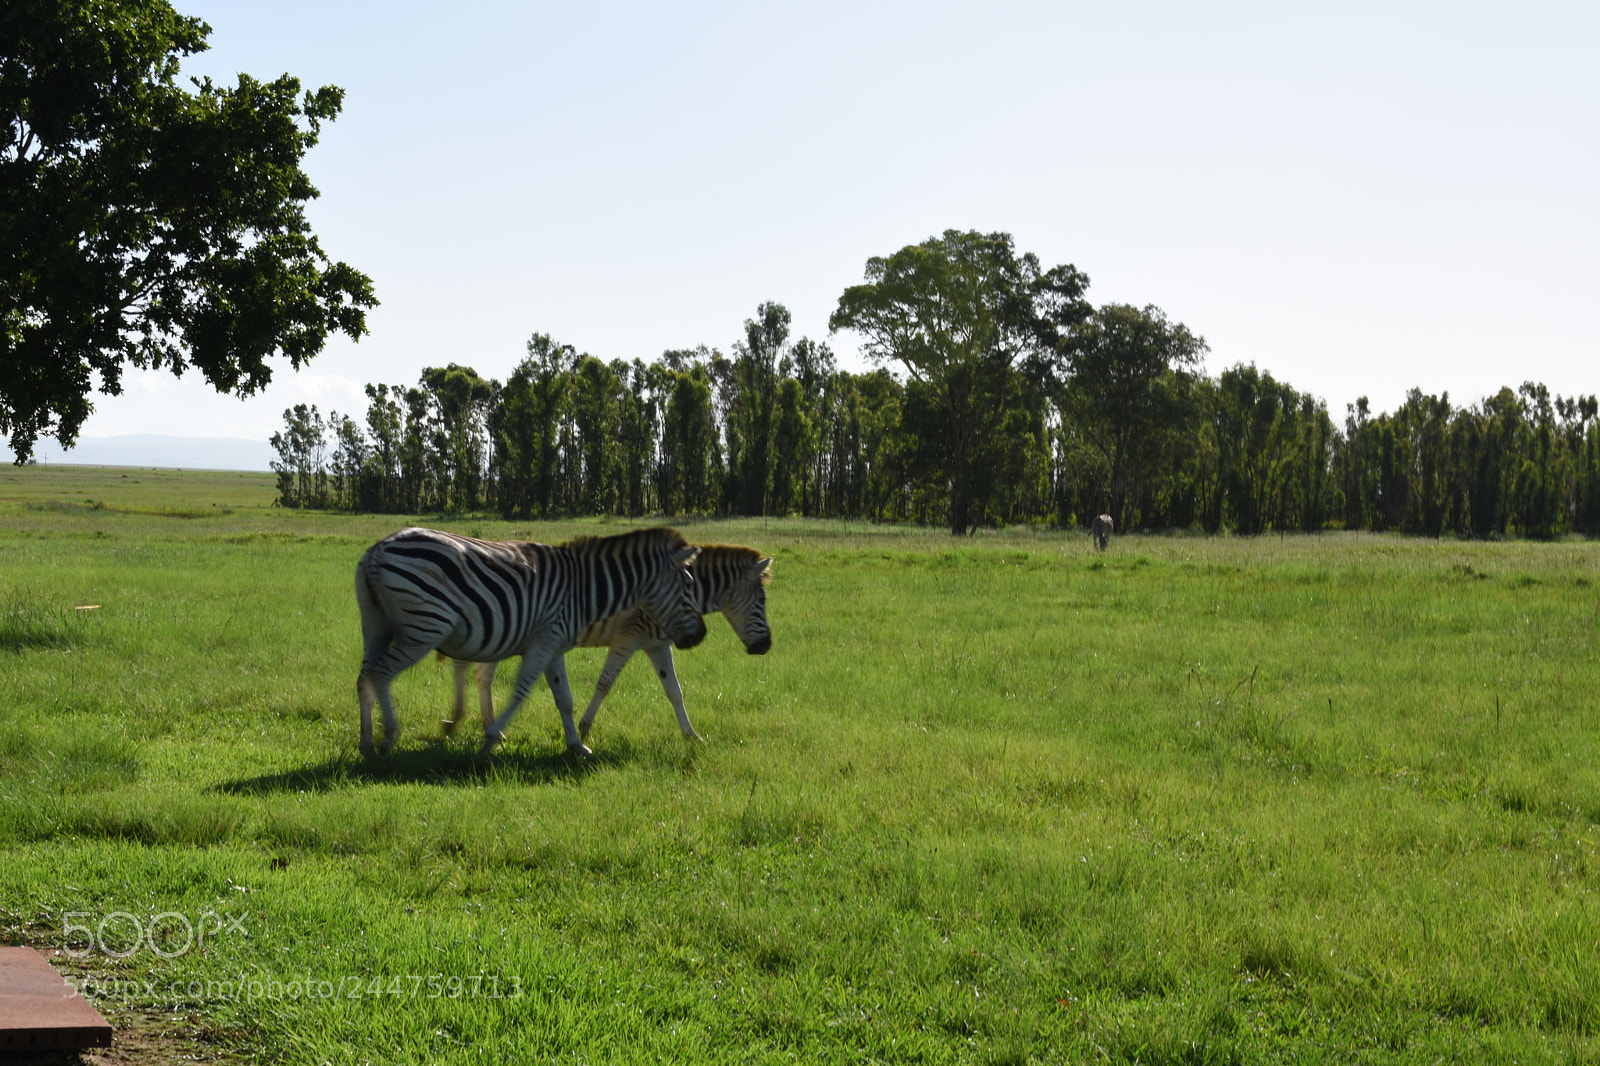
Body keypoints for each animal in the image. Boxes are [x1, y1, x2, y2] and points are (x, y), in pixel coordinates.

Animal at [355, 526, 706, 757]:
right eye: (689, 586)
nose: (701, 635)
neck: (583, 590)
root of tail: (378, 548)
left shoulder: (554, 647)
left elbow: (564, 698)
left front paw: (576, 745)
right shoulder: (544, 641)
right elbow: (521, 691)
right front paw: (491, 738)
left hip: (376, 624)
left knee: (364, 677)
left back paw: (367, 742)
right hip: (424, 627)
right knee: (382, 673)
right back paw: (388, 736)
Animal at [445, 545, 773, 743]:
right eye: (761, 602)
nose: (766, 646)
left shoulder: (657, 645)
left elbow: (674, 691)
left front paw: (691, 735)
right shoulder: (627, 638)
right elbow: (605, 684)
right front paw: (585, 728)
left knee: (482, 675)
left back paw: (490, 727)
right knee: (466, 666)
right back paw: (459, 720)